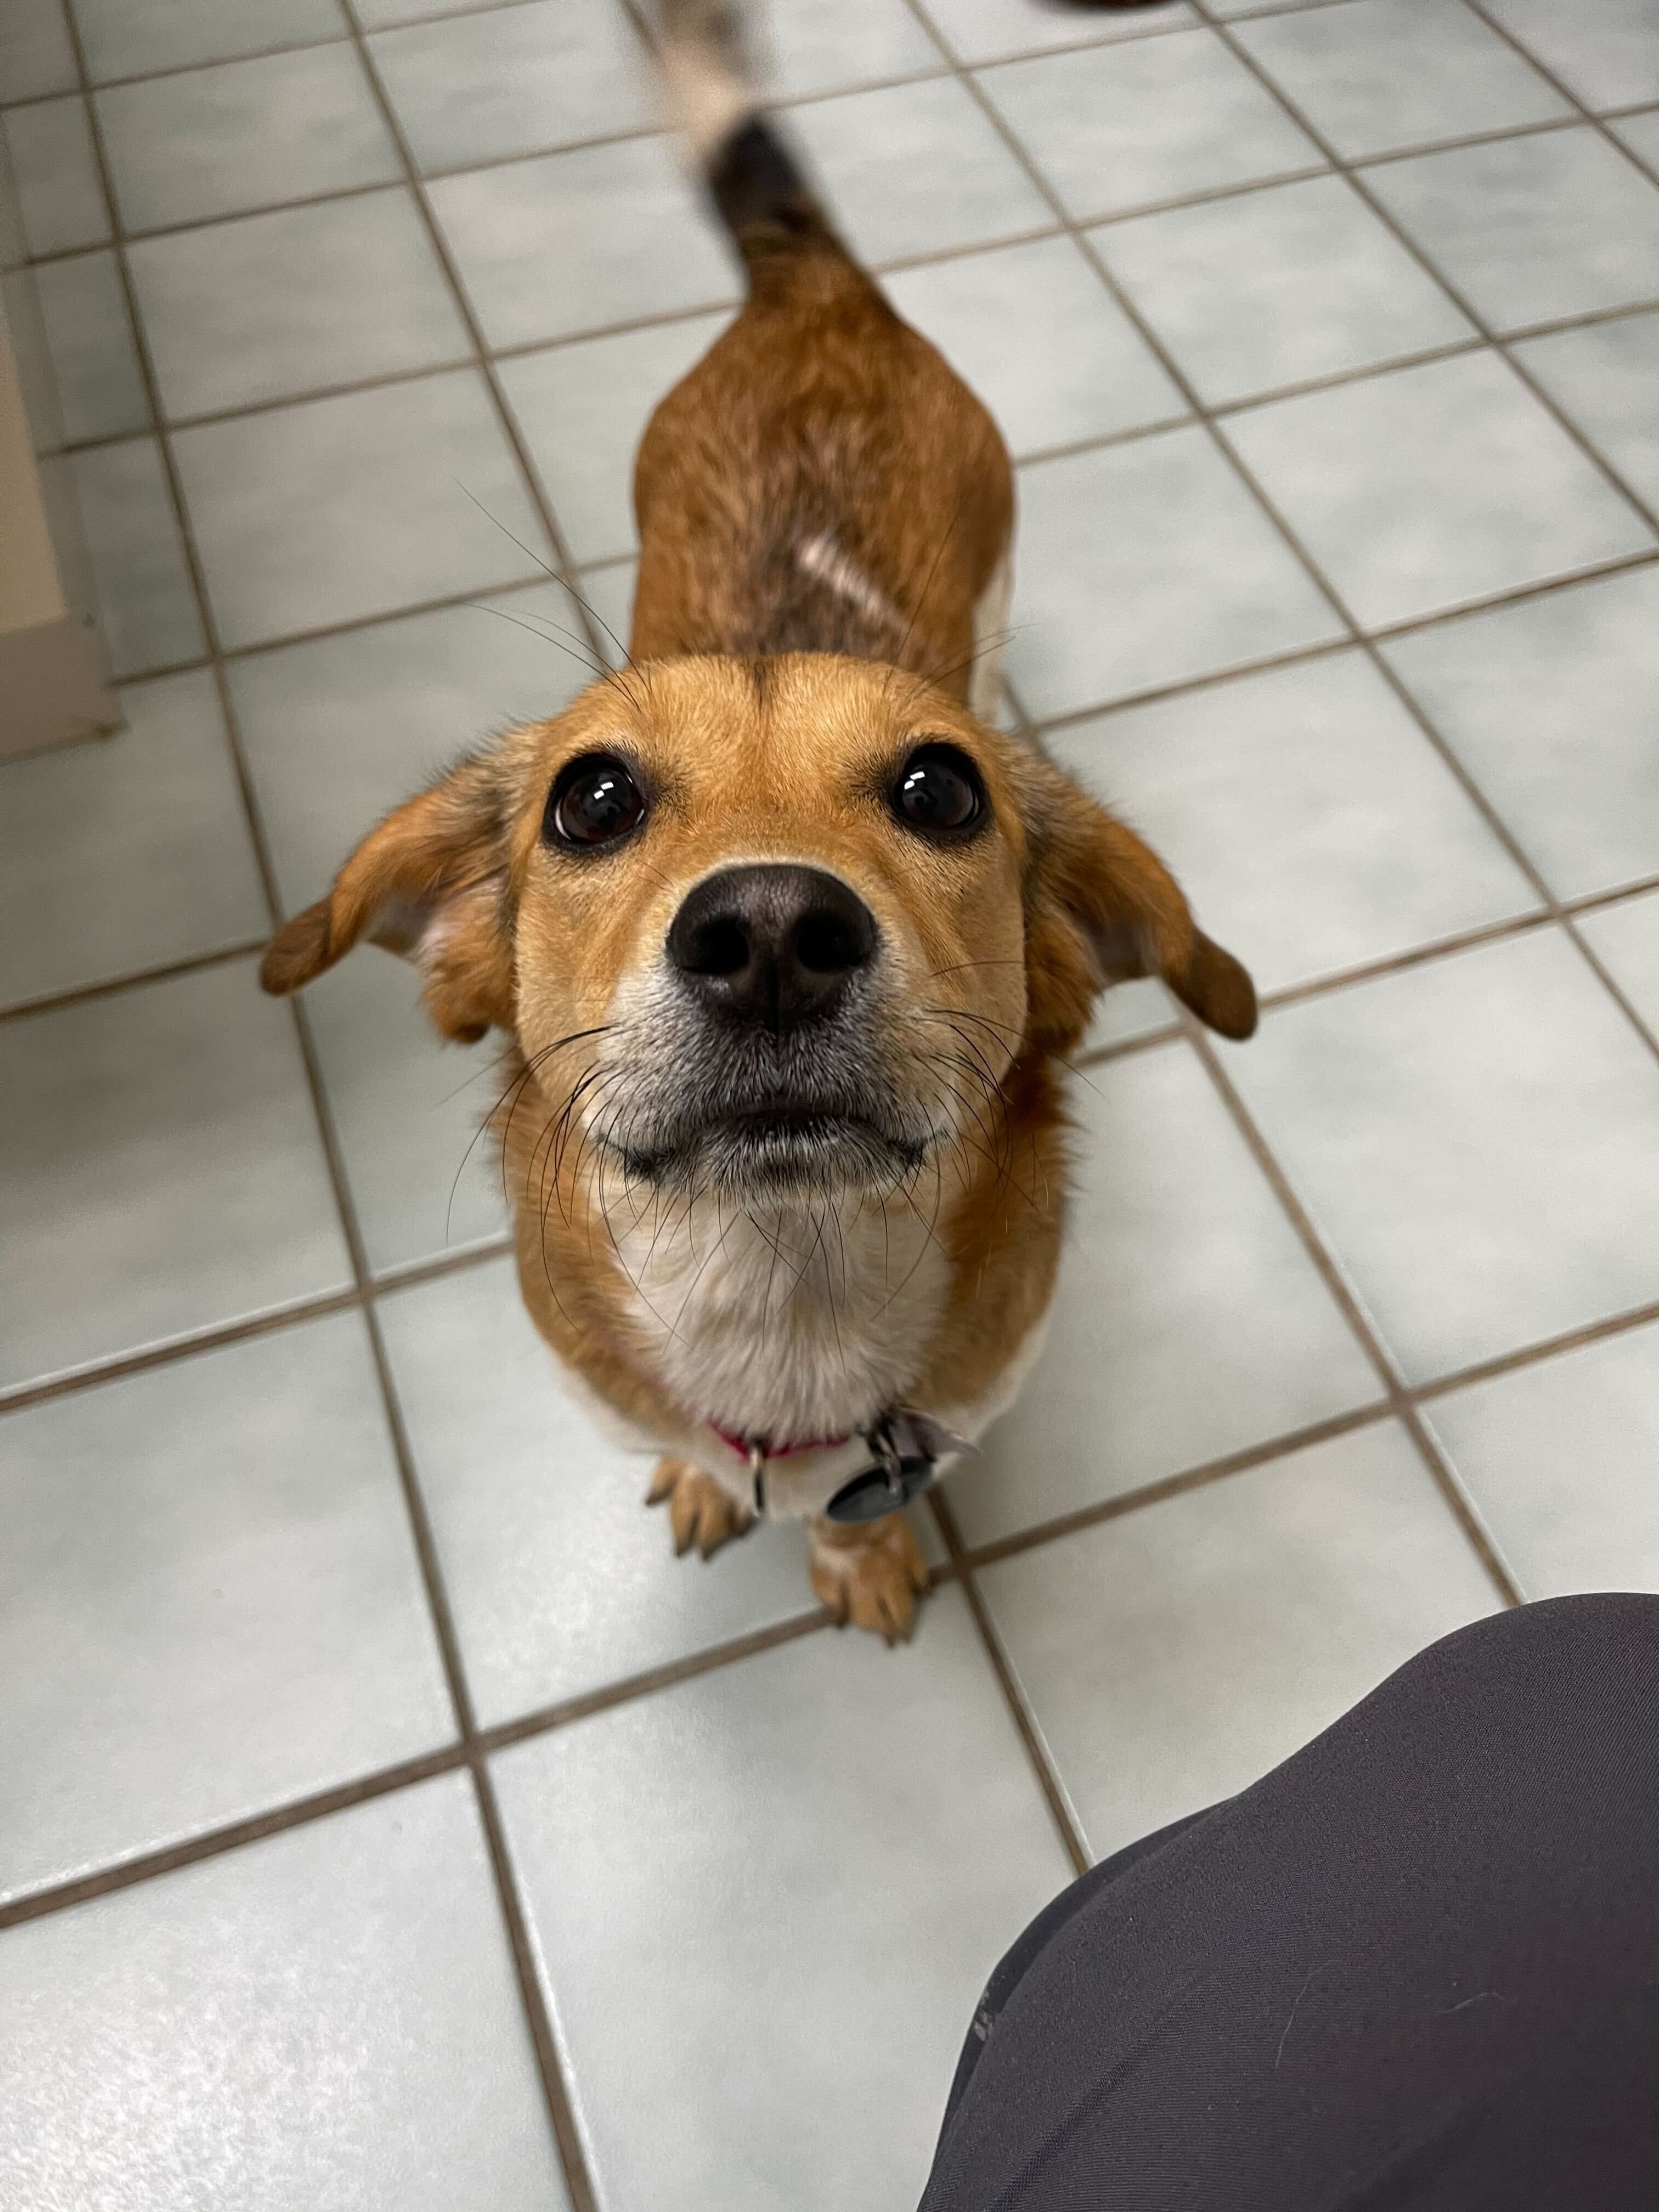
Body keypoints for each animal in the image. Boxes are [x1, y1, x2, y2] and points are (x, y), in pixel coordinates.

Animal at [259, 4, 1256, 1645]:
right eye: (590, 798)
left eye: (943, 791)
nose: (776, 933)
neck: (780, 1301)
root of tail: (813, 286)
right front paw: (709, 1485)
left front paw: (860, 1559)